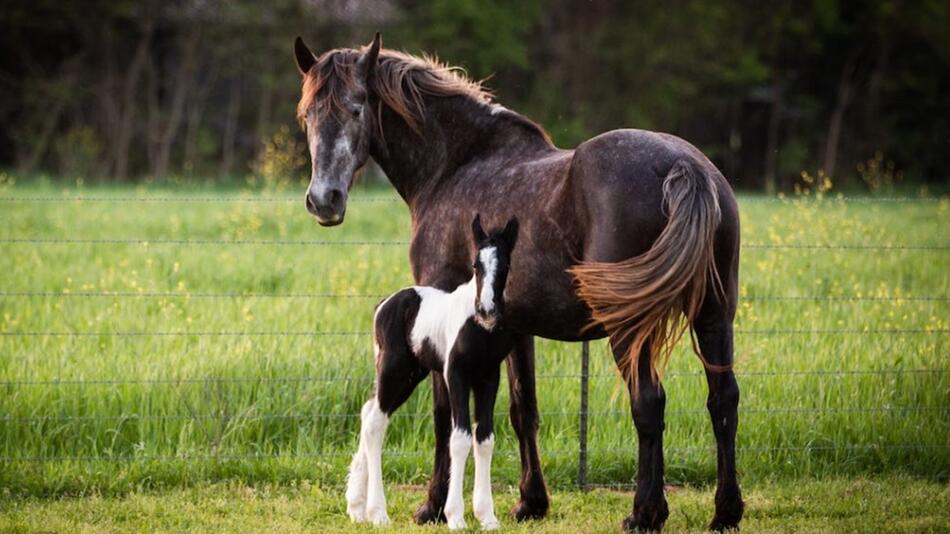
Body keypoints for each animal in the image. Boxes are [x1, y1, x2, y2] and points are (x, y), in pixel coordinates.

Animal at [346, 216, 520, 528]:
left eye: (506, 266)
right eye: (476, 264)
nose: (487, 310)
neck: (478, 327)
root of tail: (383, 305)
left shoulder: (489, 377)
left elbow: (485, 438)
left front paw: (487, 517)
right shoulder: (456, 375)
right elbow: (460, 437)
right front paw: (456, 517)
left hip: (411, 375)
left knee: (368, 411)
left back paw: (356, 507)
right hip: (393, 370)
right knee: (376, 422)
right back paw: (377, 512)